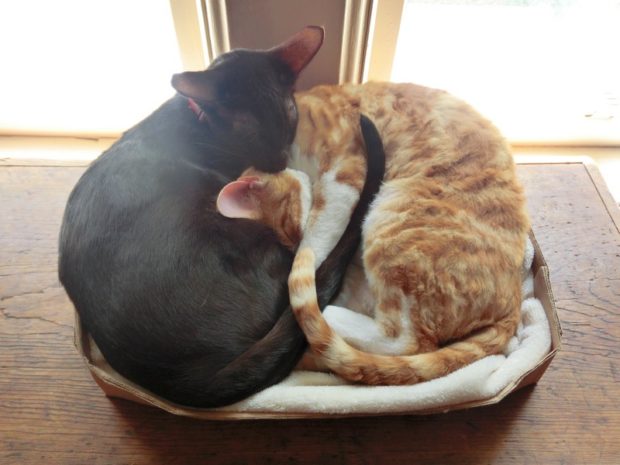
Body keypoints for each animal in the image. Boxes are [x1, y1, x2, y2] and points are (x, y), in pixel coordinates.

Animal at [222, 82, 530, 385]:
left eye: (288, 226)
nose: (294, 244)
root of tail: (513, 304)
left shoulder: (341, 180)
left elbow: (315, 243)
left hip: (392, 224)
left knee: (406, 340)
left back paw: (329, 313)